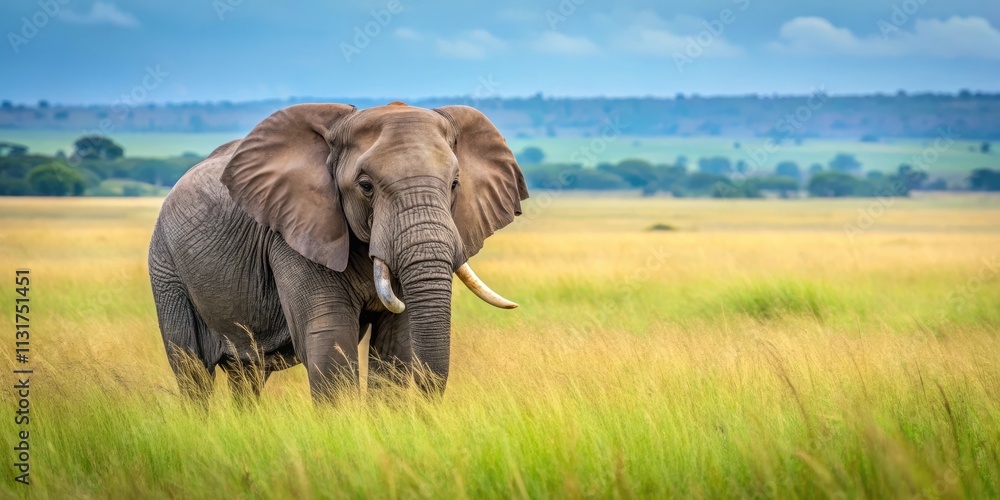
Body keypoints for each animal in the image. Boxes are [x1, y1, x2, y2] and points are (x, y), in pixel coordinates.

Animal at [147, 101, 528, 405]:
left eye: (454, 184)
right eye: (366, 186)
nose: (426, 407)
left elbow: (396, 348)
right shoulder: (293, 234)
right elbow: (330, 340)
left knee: (248, 374)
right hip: (166, 268)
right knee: (192, 371)